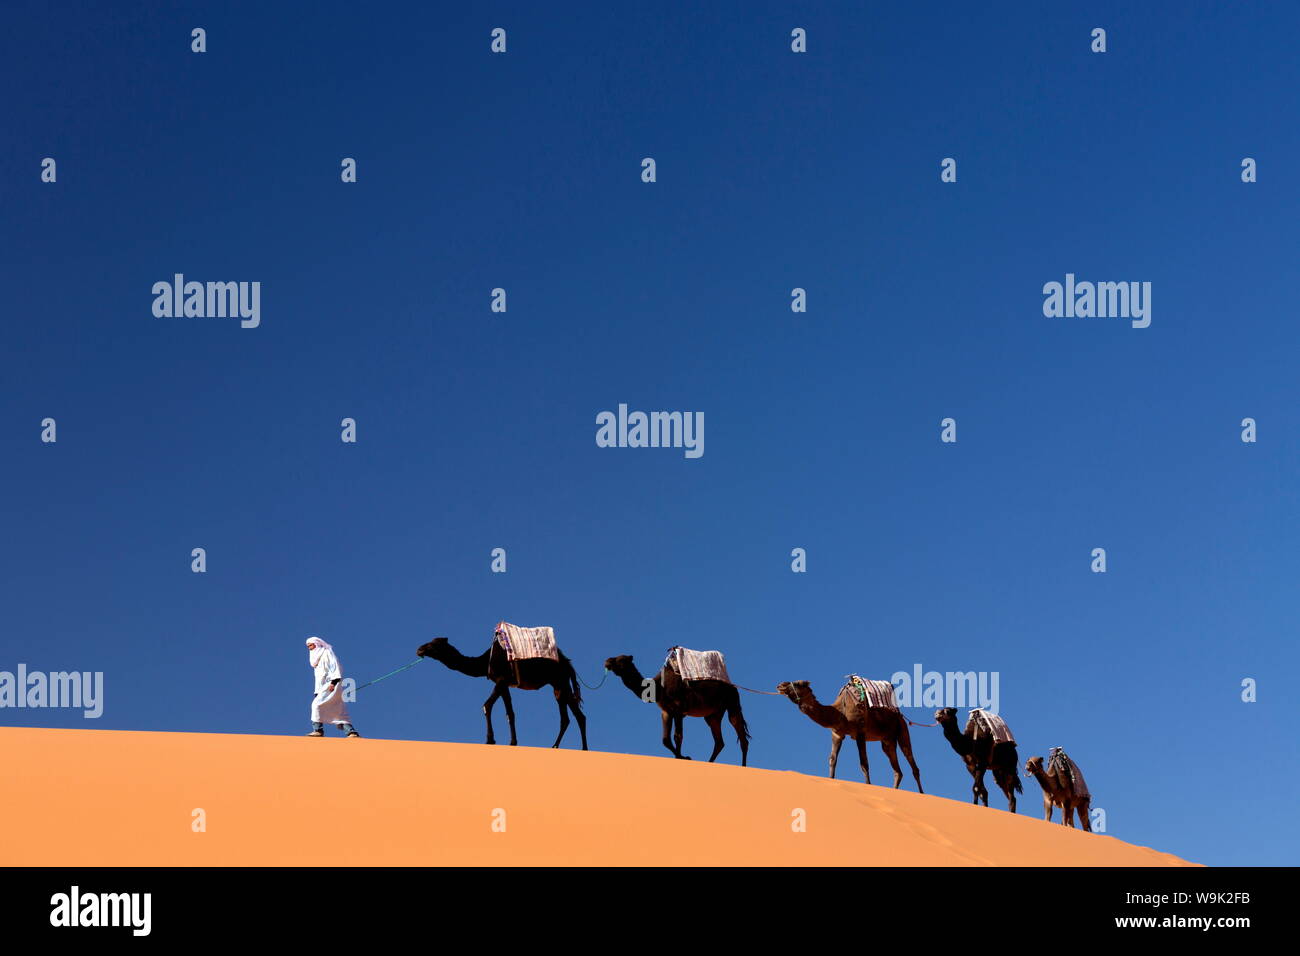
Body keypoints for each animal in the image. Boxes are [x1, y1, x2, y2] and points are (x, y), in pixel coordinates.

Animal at [416, 639, 590, 749]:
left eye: (433, 644)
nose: (419, 649)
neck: (485, 661)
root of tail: (567, 663)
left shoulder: (501, 679)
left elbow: (487, 706)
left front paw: (490, 740)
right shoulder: (505, 684)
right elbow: (510, 713)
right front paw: (513, 742)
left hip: (560, 681)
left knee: (575, 716)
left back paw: (581, 748)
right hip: (558, 685)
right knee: (571, 717)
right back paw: (559, 746)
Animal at [605, 655, 754, 764]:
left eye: (621, 659)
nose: (607, 661)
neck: (658, 688)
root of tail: (733, 687)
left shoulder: (678, 710)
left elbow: (678, 736)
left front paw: (682, 757)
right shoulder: (666, 712)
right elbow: (665, 739)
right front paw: (682, 757)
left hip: (733, 703)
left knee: (741, 737)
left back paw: (743, 766)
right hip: (713, 714)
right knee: (719, 741)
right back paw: (709, 762)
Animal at [769, 681, 925, 790]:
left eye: (797, 683)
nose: (780, 685)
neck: (839, 712)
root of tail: (900, 715)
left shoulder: (860, 732)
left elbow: (864, 763)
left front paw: (869, 785)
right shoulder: (837, 733)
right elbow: (832, 760)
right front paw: (831, 779)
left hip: (902, 731)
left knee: (913, 764)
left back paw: (921, 793)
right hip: (887, 741)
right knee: (897, 771)